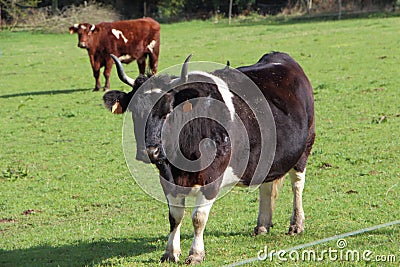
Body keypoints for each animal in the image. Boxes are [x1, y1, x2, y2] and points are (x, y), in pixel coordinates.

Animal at [103, 51, 316, 264]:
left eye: (168, 111)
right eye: (134, 111)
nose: (150, 151)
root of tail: (278, 56)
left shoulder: (213, 178)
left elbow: (198, 217)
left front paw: (196, 254)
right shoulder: (167, 178)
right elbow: (175, 216)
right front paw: (170, 252)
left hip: (304, 149)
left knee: (297, 185)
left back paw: (297, 224)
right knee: (266, 186)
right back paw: (263, 225)